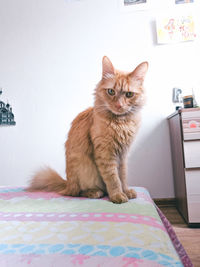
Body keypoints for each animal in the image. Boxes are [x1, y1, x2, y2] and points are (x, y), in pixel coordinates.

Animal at [27, 56, 148, 203]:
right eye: (111, 91)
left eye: (129, 94)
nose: (119, 105)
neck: (121, 123)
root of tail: (67, 184)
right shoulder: (105, 153)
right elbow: (114, 179)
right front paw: (118, 195)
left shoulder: (123, 155)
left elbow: (123, 176)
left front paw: (126, 191)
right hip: (84, 170)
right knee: (77, 192)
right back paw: (95, 192)